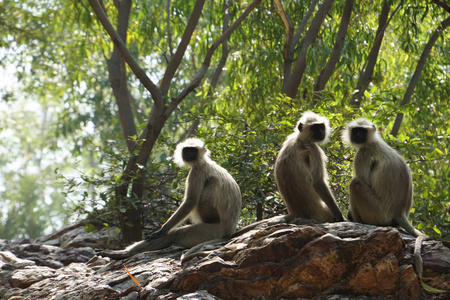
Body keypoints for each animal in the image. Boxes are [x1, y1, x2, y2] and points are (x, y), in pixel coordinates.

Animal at [101, 138, 243, 260]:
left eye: (193, 150)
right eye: (186, 150)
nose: (188, 154)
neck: (203, 162)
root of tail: (228, 232)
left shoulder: (196, 172)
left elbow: (190, 202)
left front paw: (160, 231)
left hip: (211, 231)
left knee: (175, 234)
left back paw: (124, 253)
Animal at [342, 118, 428, 278]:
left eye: (362, 131)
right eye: (356, 130)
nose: (358, 136)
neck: (372, 141)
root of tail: (400, 212)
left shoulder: (363, 154)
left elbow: (363, 180)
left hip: (377, 212)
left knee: (356, 183)